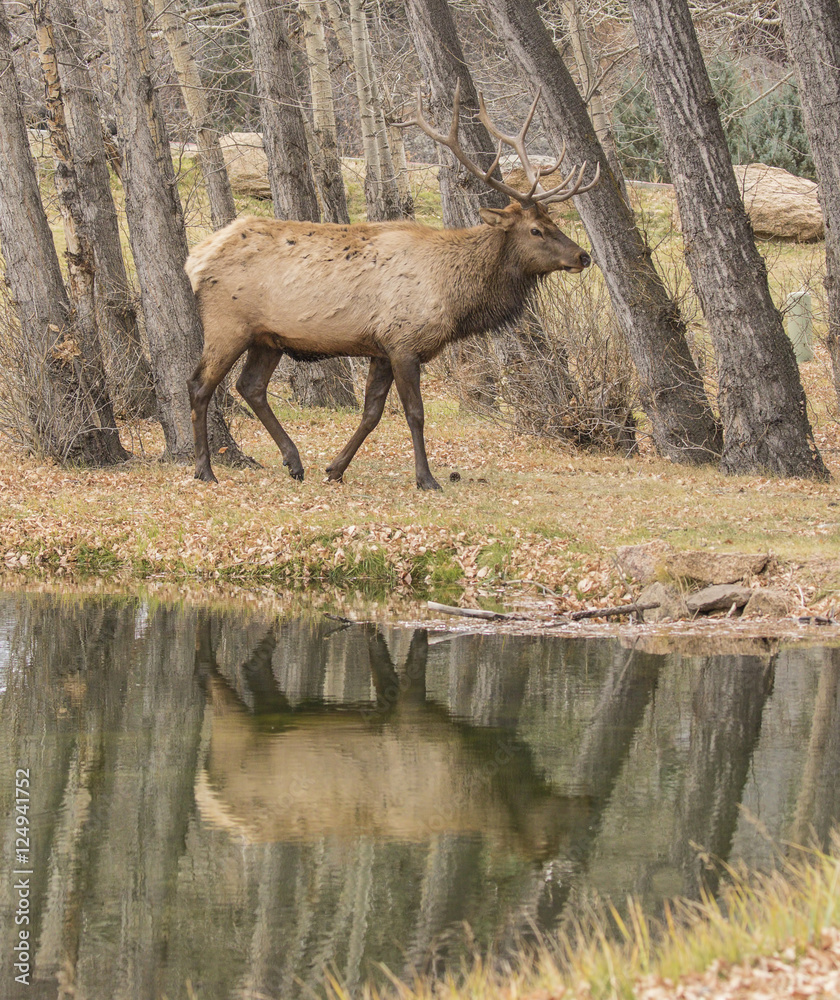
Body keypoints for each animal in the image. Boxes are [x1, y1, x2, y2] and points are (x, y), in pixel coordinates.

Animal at [186, 84, 599, 490]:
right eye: (536, 230)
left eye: (552, 222)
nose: (583, 256)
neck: (454, 299)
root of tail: (198, 257)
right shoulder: (404, 341)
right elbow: (414, 413)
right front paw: (426, 478)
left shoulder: (380, 348)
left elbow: (372, 413)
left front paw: (335, 468)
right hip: (228, 324)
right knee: (199, 385)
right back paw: (204, 470)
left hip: (267, 337)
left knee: (250, 386)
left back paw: (294, 461)